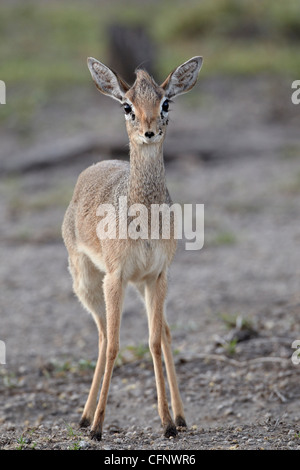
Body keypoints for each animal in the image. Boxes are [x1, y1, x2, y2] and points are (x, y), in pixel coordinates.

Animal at [62, 56, 203, 440]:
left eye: (166, 102)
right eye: (127, 106)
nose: (149, 131)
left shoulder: (158, 275)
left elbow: (154, 341)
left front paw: (167, 422)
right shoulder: (115, 278)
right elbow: (114, 345)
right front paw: (98, 427)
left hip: (141, 286)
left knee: (163, 333)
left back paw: (181, 417)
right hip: (88, 283)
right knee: (101, 336)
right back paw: (85, 417)